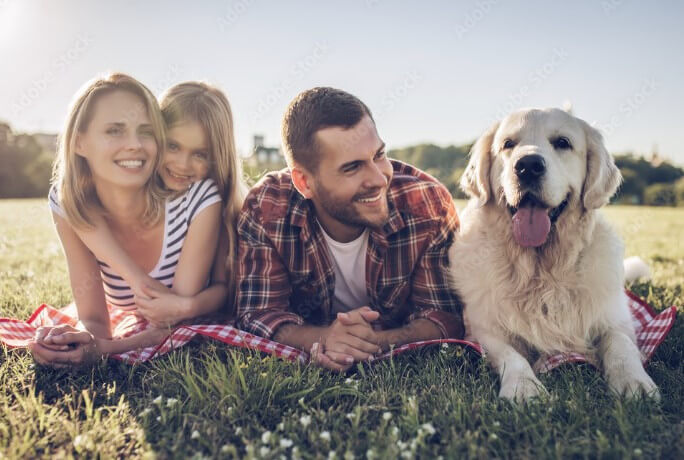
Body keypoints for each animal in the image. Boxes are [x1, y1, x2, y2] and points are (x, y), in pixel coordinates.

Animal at [448, 108, 656, 402]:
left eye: (562, 143)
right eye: (508, 144)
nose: (528, 166)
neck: (541, 270)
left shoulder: (617, 319)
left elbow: (621, 344)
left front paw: (633, 381)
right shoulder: (484, 329)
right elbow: (511, 355)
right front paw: (523, 386)